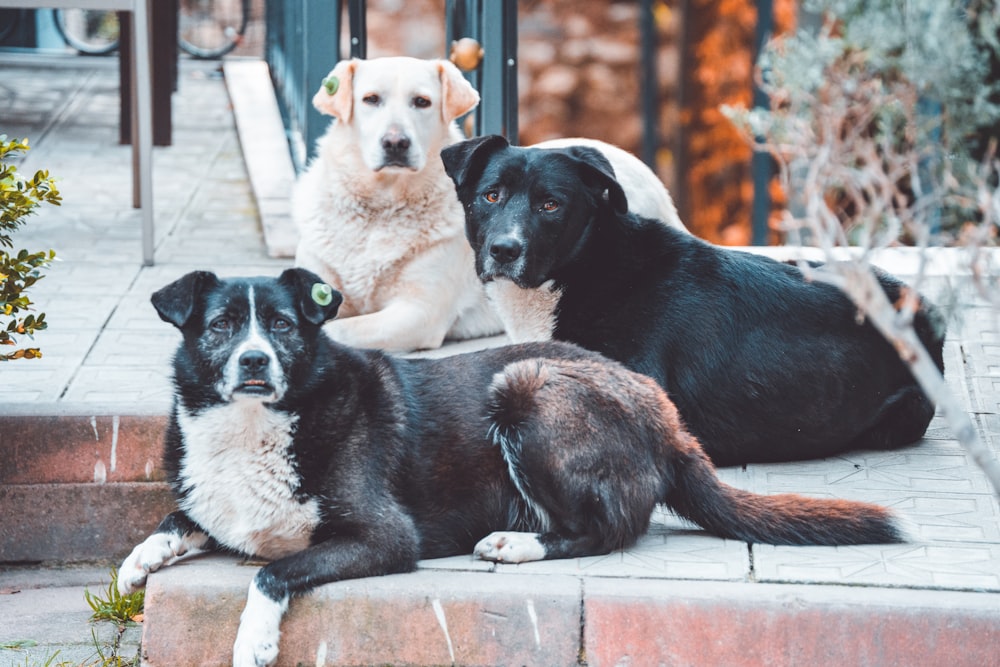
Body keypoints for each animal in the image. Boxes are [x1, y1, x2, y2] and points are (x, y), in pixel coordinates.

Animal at [117, 268, 908, 664]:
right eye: (222, 325)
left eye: (281, 325)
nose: (253, 361)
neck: (256, 425)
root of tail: (664, 414)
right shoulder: (210, 500)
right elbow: (177, 517)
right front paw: (134, 565)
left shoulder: (384, 538)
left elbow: (272, 569)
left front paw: (252, 640)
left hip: (526, 389)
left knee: (606, 529)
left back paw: (514, 543)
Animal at [292, 56, 504, 354]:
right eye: (371, 99)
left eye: (422, 101)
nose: (395, 142)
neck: (380, 209)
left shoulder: (419, 311)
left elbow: (338, 330)